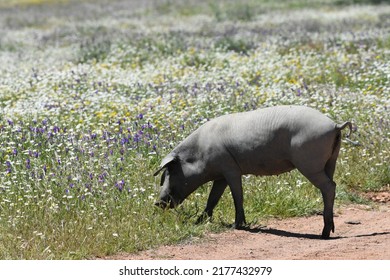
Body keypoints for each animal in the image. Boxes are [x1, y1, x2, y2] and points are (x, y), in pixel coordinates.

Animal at [154, 105, 352, 238]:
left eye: (169, 173)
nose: (157, 203)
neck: (200, 154)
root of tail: (335, 125)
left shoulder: (231, 169)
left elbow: (237, 196)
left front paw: (237, 225)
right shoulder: (221, 175)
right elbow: (213, 198)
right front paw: (199, 221)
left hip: (310, 163)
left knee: (329, 187)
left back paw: (324, 233)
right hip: (331, 161)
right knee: (331, 185)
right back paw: (329, 230)